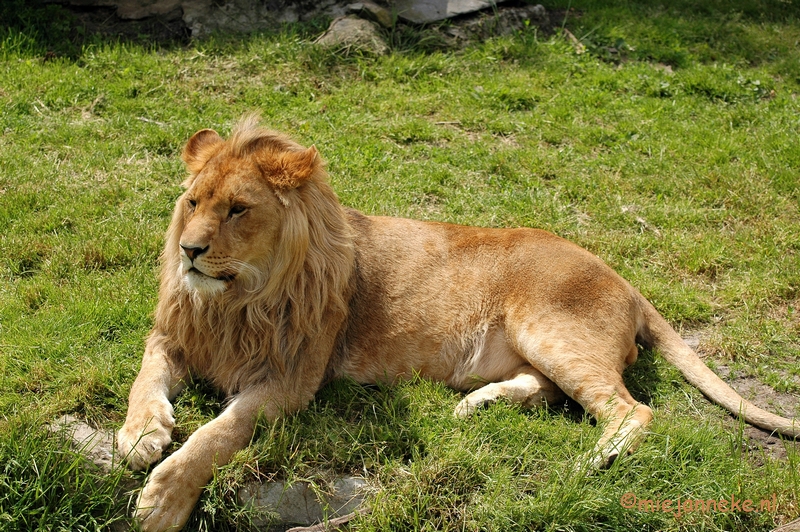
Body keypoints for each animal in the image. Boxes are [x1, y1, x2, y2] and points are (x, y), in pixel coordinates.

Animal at [119, 116, 800, 532]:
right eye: (192, 202)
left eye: (238, 209)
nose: (191, 252)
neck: (236, 302)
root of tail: (626, 279)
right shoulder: (171, 337)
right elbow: (143, 379)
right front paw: (140, 435)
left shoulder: (291, 379)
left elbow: (220, 433)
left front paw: (162, 498)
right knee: (557, 391)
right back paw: (481, 404)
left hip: (551, 329)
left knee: (633, 411)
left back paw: (585, 466)